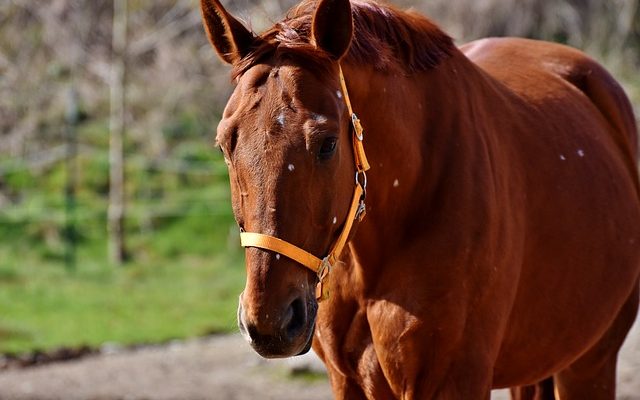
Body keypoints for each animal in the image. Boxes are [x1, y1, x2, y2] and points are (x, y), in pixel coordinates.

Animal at [200, 0, 640, 396]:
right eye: (225, 144)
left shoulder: (453, 382)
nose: (270, 321)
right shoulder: (348, 382)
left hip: (590, 363)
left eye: (327, 144)